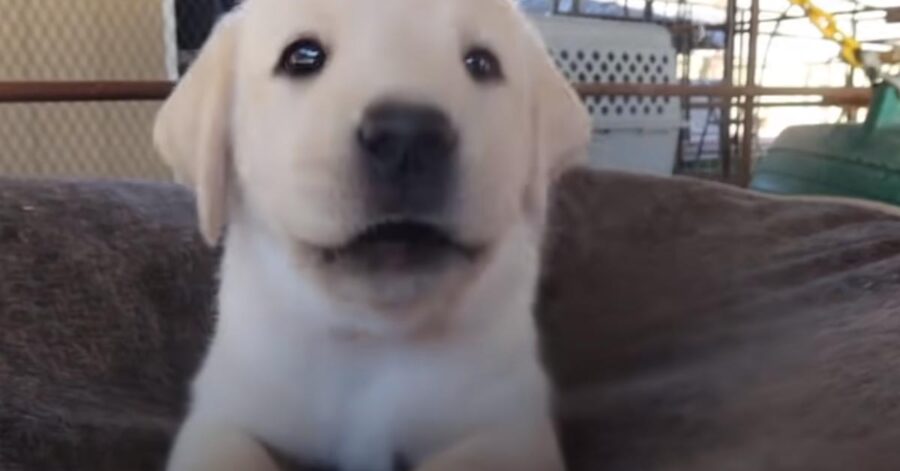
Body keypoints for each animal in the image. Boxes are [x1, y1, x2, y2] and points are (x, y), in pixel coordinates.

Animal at [155, 0, 592, 470]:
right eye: (302, 56)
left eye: (481, 63)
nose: (408, 136)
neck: (371, 338)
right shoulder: (223, 414)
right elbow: (230, 450)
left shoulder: (514, 429)